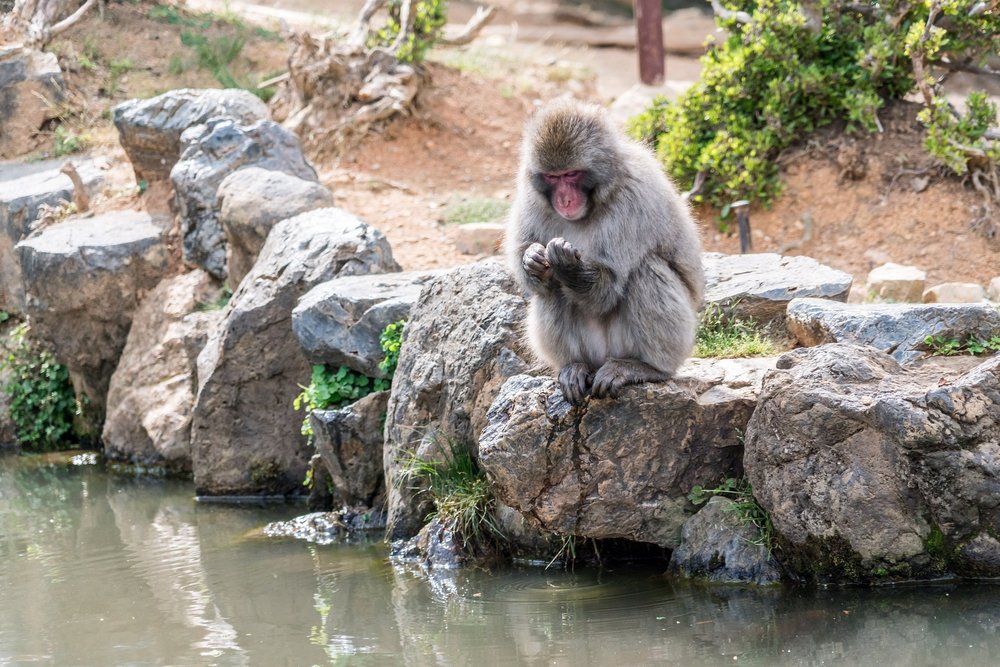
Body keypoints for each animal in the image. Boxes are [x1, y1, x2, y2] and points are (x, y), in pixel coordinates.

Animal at [506, 99, 704, 405]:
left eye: (571, 174)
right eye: (552, 177)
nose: (564, 200)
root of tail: (602, 359)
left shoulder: (634, 198)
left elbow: (607, 288)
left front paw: (567, 265)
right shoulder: (530, 196)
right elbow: (532, 271)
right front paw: (533, 259)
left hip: (654, 343)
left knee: (646, 269)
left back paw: (647, 367)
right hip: (592, 350)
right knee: (549, 290)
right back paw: (574, 366)